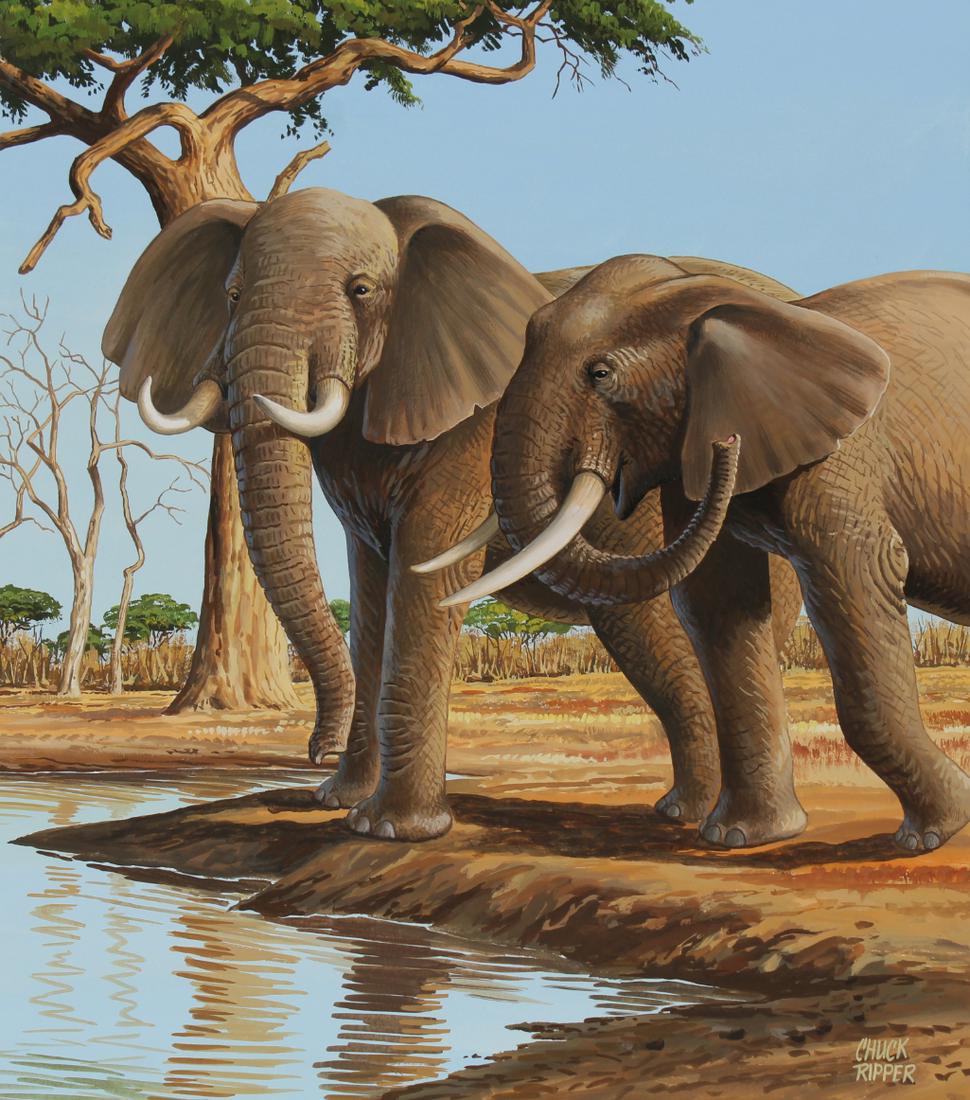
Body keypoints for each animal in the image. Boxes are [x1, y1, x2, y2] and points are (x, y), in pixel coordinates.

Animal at [103, 187, 802, 841]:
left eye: (361, 290)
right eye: (231, 294)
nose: (314, 753)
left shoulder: (471, 430)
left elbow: (422, 574)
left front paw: (389, 829)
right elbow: (371, 593)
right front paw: (340, 802)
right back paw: (684, 812)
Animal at [435, 257, 970, 852]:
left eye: (600, 375)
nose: (725, 446)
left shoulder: (843, 458)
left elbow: (854, 576)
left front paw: (932, 835)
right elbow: (719, 605)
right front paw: (739, 837)